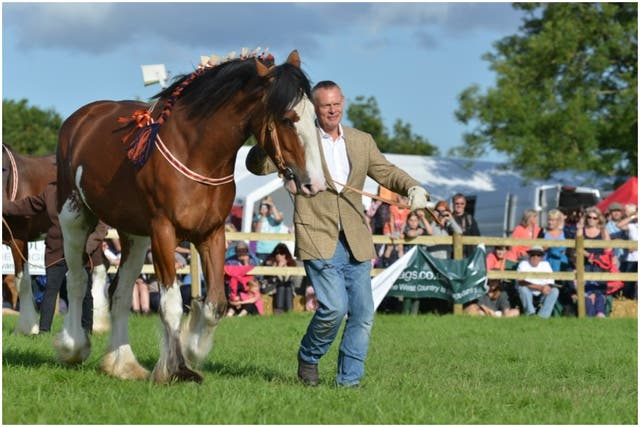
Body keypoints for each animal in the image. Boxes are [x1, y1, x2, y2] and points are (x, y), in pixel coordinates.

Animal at [55, 50, 324, 384]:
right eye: (288, 119)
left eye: (315, 118)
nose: (314, 183)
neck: (197, 153)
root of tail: (80, 120)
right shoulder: (163, 232)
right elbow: (170, 304)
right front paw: (176, 368)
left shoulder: (212, 233)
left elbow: (216, 304)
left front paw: (193, 346)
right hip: (75, 217)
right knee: (77, 279)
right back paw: (73, 347)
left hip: (134, 235)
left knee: (120, 292)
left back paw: (123, 363)